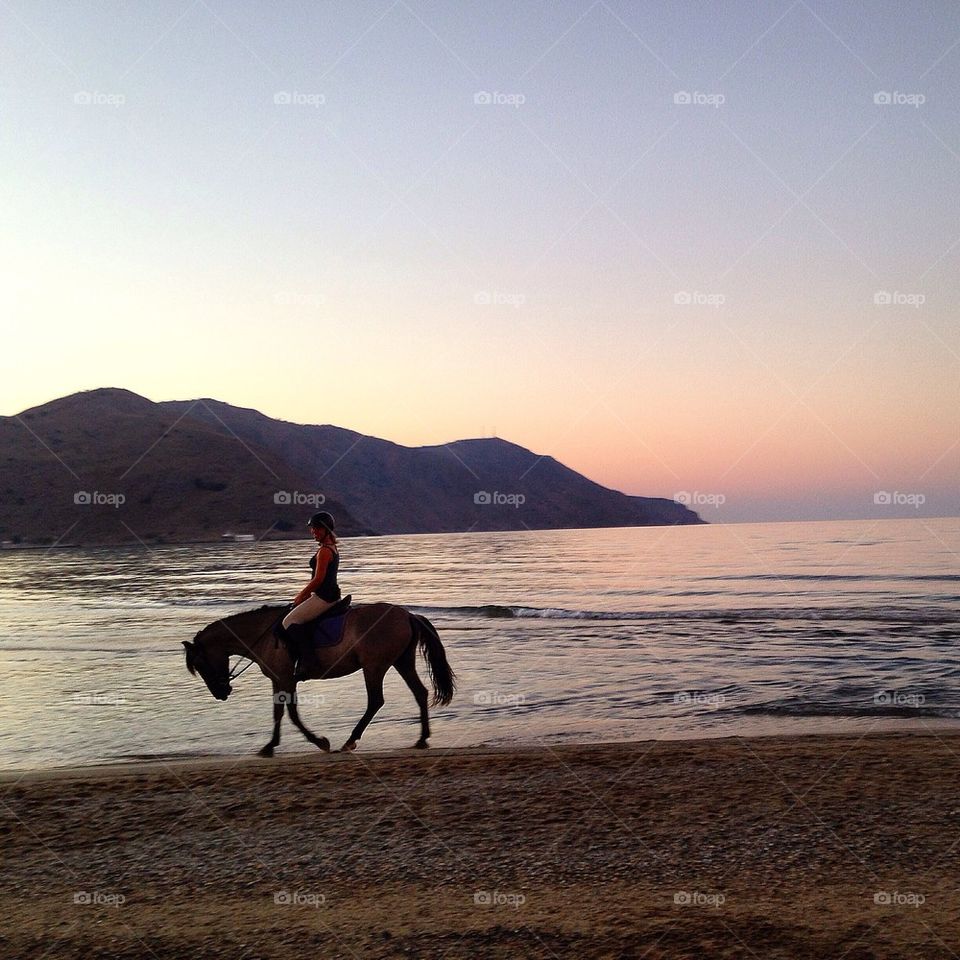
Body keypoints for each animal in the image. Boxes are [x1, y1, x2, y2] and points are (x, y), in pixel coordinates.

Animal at [182, 604, 456, 752]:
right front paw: (271, 745)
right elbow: (279, 713)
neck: (263, 636)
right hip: (401, 661)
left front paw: (319, 742)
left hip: (374, 666)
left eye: (200, 664)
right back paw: (422, 739)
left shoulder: (285, 678)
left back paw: (350, 741)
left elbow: (291, 714)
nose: (220, 693)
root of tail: (407, 614)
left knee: (375, 701)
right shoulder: (279, 680)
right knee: (419, 692)